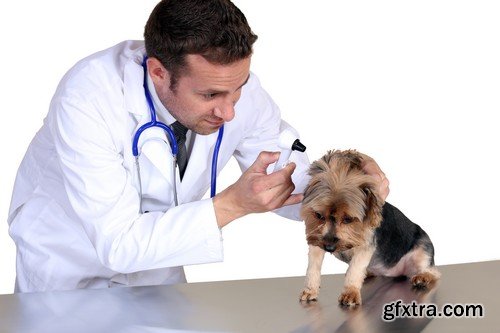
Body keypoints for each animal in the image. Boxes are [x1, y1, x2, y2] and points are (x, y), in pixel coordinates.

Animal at [298, 149, 440, 304]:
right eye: (318, 215)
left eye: (348, 219)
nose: (329, 247)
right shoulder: (316, 239)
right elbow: (313, 266)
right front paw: (310, 290)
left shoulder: (365, 245)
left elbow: (355, 269)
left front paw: (350, 293)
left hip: (423, 250)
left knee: (434, 272)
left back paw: (423, 278)